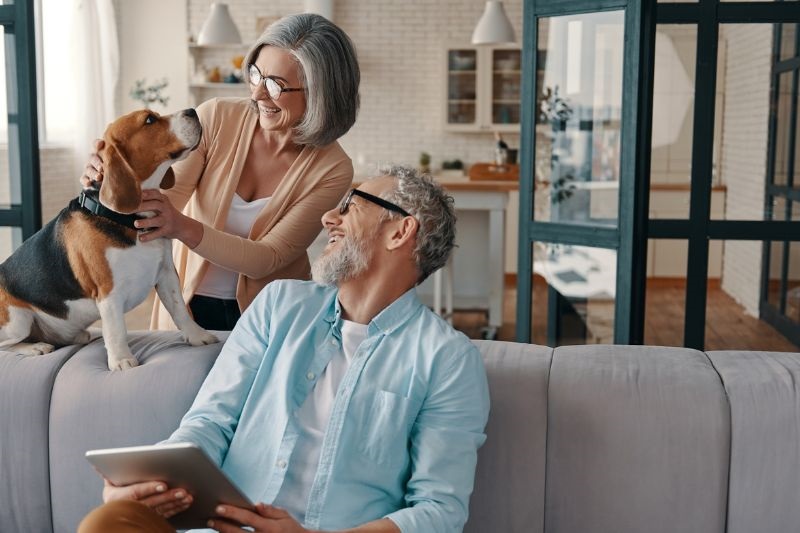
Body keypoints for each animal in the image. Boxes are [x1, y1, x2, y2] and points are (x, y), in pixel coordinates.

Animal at [0, 108, 219, 370]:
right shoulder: (108, 292)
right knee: (8, 344)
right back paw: (35, 347)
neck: (128, 218)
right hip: (17, 320)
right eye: (149, 120)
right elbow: (116, 330)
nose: (192, 111)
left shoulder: (167, 273)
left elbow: (179, 310)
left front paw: (197, 336)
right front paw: (121, 360)